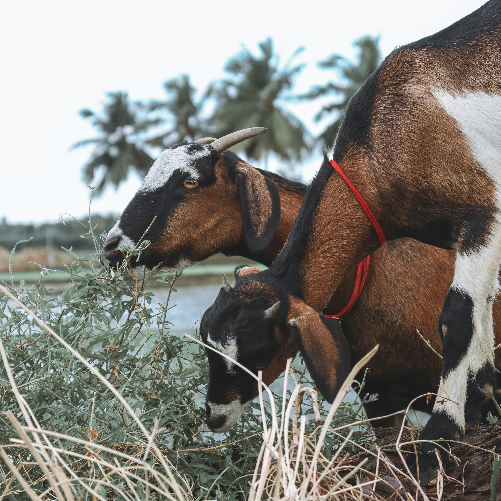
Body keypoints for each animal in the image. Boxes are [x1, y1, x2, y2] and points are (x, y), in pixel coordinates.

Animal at [201, 0, 500, 484]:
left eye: (260, 349)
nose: (213, 415)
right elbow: (484, 306)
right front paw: (484, 399)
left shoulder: (483, 211)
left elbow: (458, 316)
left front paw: (439, 436)